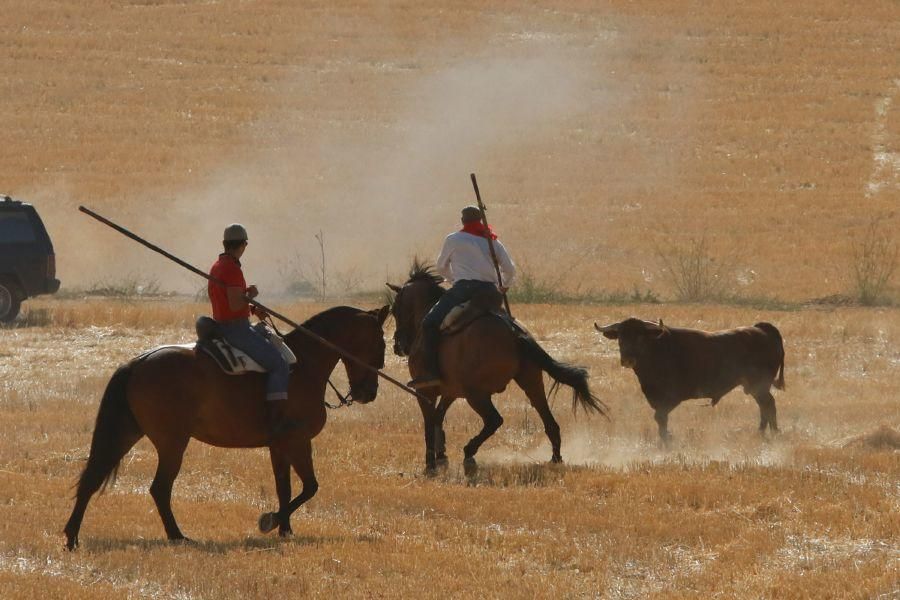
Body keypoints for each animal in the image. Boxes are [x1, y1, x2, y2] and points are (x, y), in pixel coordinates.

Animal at [63, 304, 386, 548]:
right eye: (381, 342)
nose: (369, 393)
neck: (304, 365)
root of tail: (138, 362)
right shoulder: (297, 440)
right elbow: (310, 487)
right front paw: (271, 521)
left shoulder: (279, 446)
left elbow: (284, 487)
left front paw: (285, 529)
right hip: (172, 443)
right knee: (159, 488)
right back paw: (177, 536)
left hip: (126, 432)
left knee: (93, 478)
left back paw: (72, 535)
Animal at [384, 262, 604, 474]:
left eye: (395, 310)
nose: (398, 346)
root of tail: (514, 332)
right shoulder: (450, 392)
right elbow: (439, 417)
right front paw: (441, 456)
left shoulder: (425, 392)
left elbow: (430, 423)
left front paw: (431, 464)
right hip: (531, 382)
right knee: (548, 420)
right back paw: (555, 458)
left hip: (476, 394)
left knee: (494, 420)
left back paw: (469, 452)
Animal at [596, 318, 784, 440]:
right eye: (620, 337)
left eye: (640, 336)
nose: (627, 359)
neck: (657, 348)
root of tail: (762, 329)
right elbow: (660, 419)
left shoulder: (670, 398)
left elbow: (660, 417)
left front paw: (666, 440)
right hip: (756, 388)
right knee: (765, 406)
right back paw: (763, 432)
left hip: (759, 385)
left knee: (768, 405)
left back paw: (771, 432)